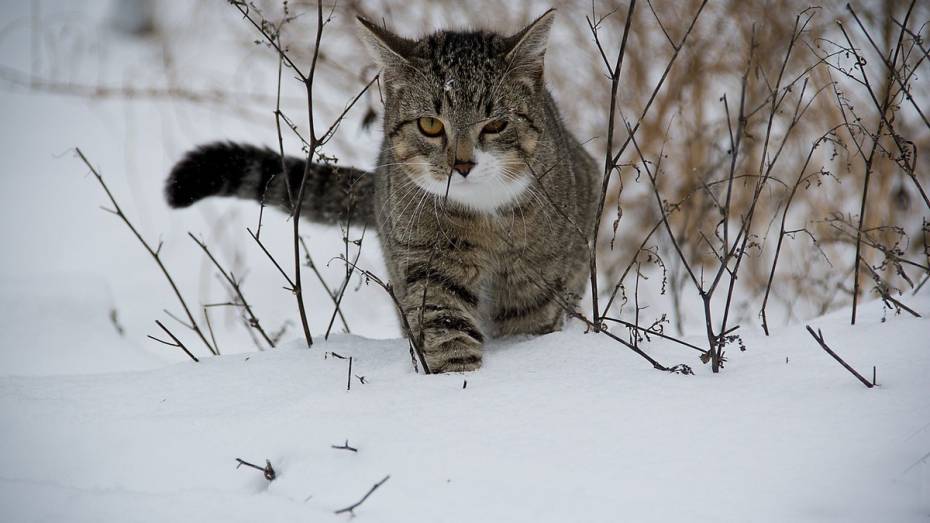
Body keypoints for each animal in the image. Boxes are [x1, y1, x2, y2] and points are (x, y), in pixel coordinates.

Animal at [165, 10, 596, 374]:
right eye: (430, 125)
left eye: (495, 125)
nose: (462, 165)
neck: (483, 213)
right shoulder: (427, 258)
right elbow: (445, 324)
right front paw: (457, 382)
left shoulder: (535, 277)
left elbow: (529, 321)